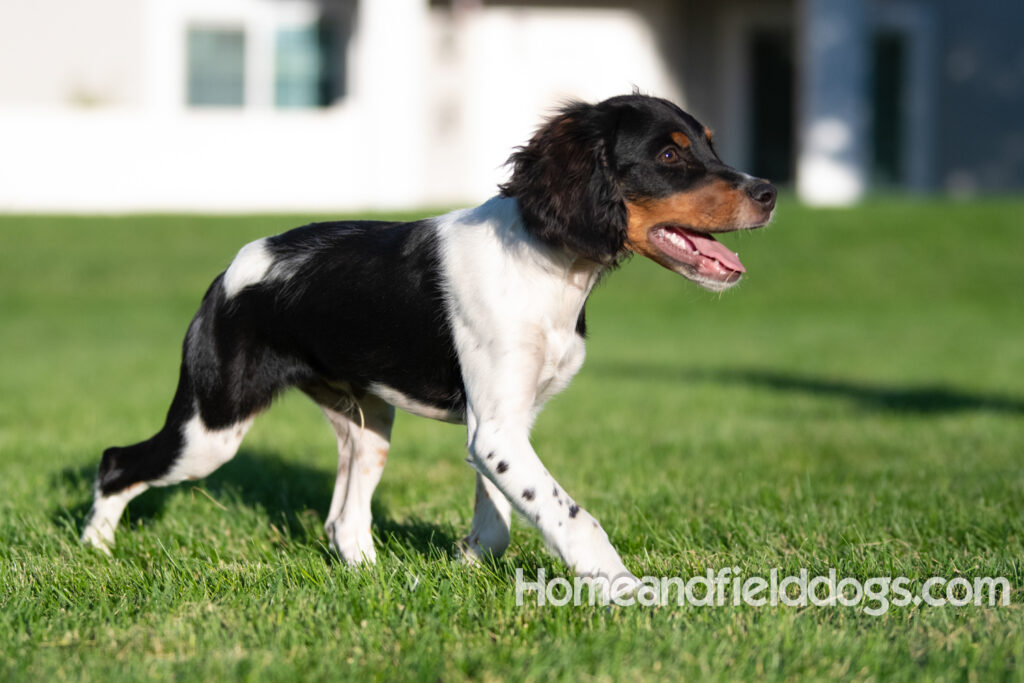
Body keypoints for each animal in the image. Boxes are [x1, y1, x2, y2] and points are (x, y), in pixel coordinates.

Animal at [86, 94, 774, 598]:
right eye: (668, 153)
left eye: (709, 142)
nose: (768, 192)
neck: (549, 266)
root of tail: (233, 268)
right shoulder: (496, 432)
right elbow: (572, 515)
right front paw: (624, 590)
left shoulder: (504, 425)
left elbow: (501, 516)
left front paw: (466, 562)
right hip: (211, 427)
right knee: (118, 460)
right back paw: (94, 551)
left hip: (367, 426)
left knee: (344, 521)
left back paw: (383, 580)